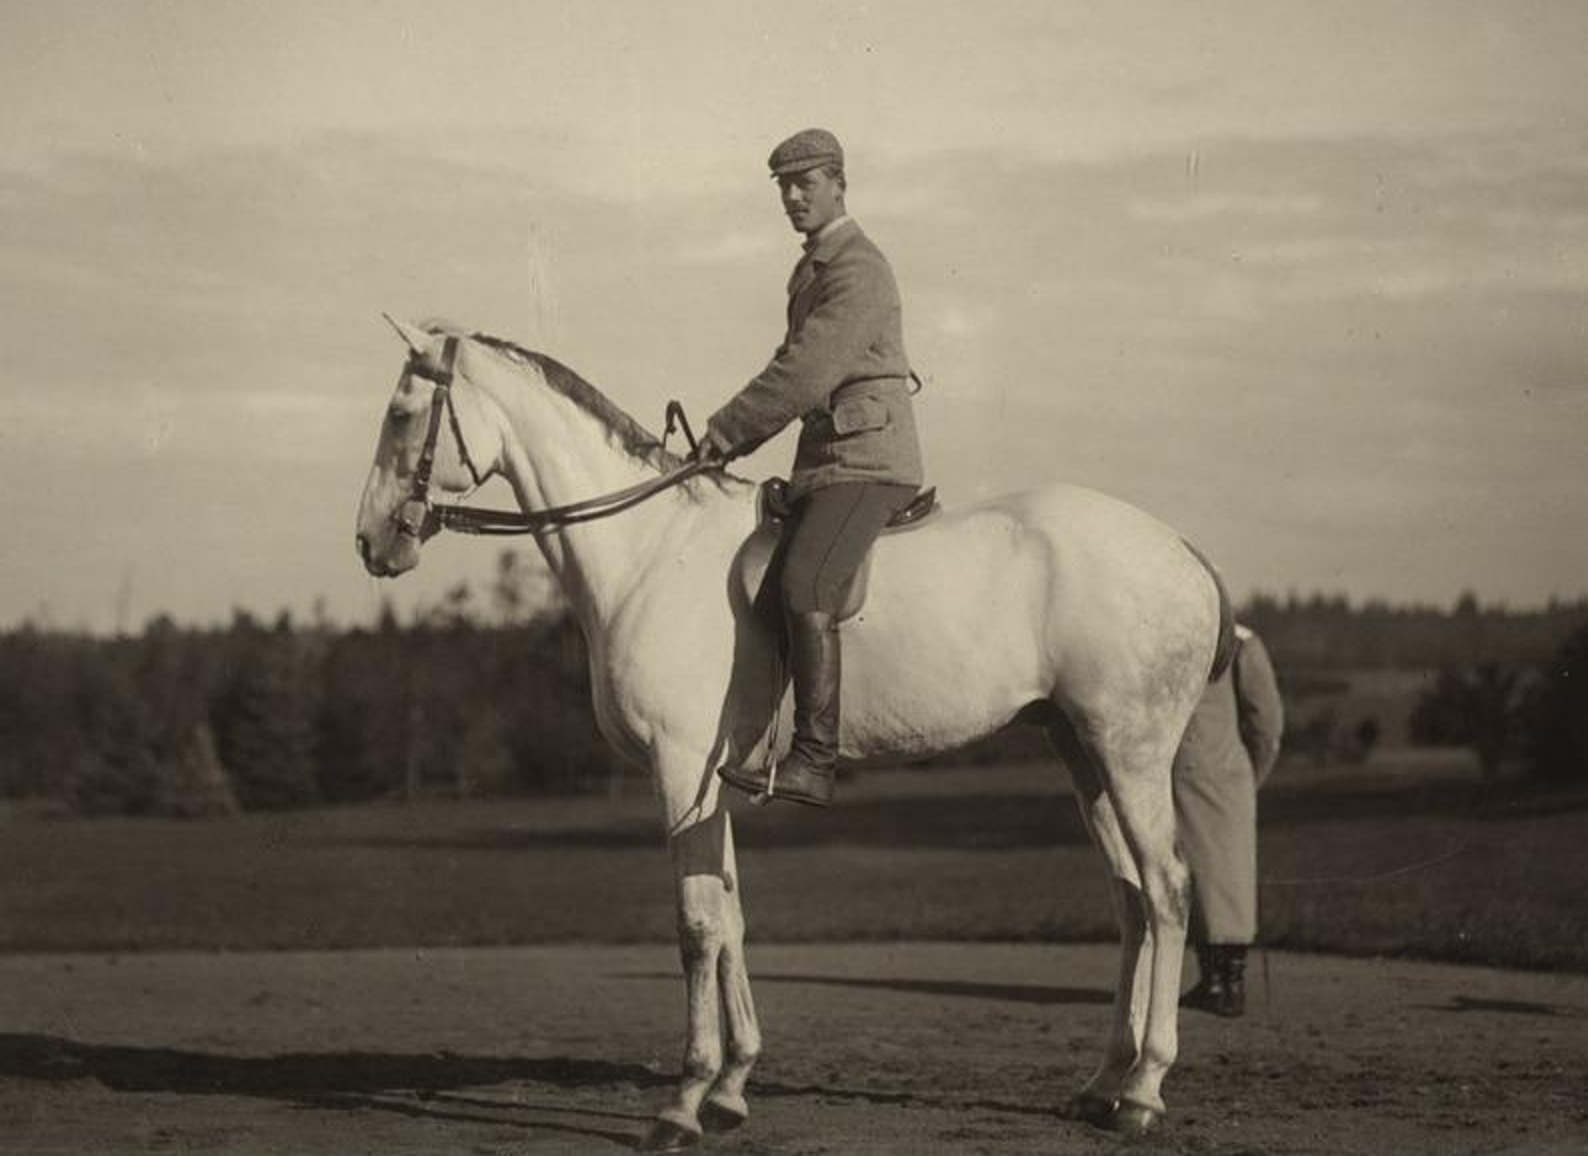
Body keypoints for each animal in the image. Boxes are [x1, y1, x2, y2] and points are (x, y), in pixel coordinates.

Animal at [355, 317, 1233, 1149]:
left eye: (401, 413)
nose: (371, 542)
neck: (651, 552)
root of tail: (1180, 548)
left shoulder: (680, 771)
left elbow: (697, 926)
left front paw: (683, 1102)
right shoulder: (709, 781)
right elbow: (731, 917)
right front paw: (732, 1086)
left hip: (1131, 750)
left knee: (1166, 889)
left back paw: (1144, 1091)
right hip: (1081, 751)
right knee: (1130, 898)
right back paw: (1104, 1082)